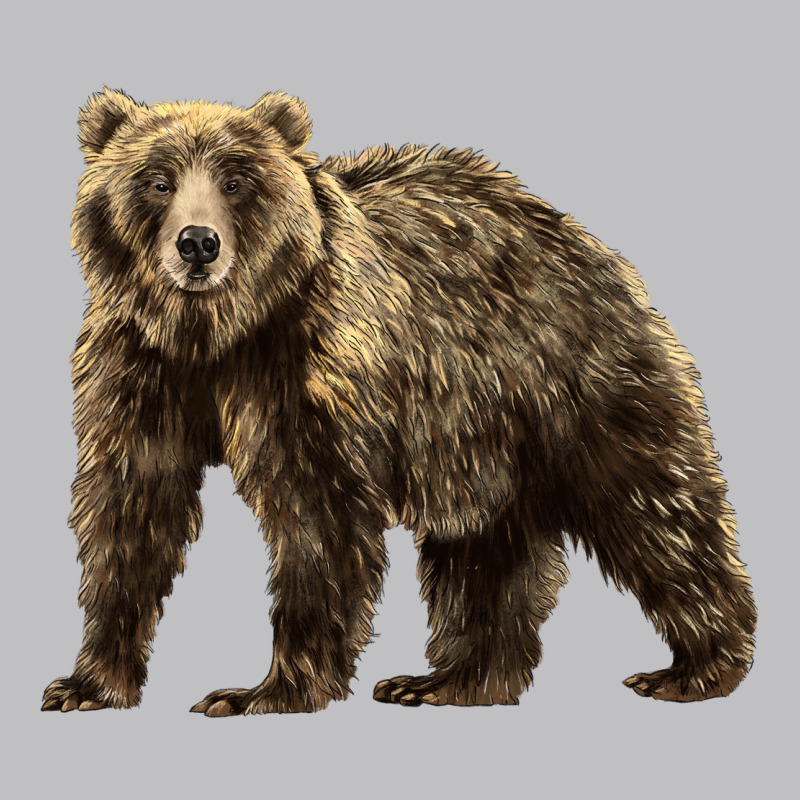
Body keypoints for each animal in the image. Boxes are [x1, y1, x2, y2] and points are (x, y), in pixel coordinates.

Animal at [42, 88, 756, 715]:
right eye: (156, 180)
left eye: (238, 180)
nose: (197, 243)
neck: (216, 334)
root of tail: (580, 236)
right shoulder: (138, 368)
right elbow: (131, 508)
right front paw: (87, 683)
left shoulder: (310, 367)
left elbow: (317, 517)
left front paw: (263, 691)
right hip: (475, 437)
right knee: (482, 548)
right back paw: (450, 680)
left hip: (570, 378)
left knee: (651, 503)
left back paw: (695, 667)